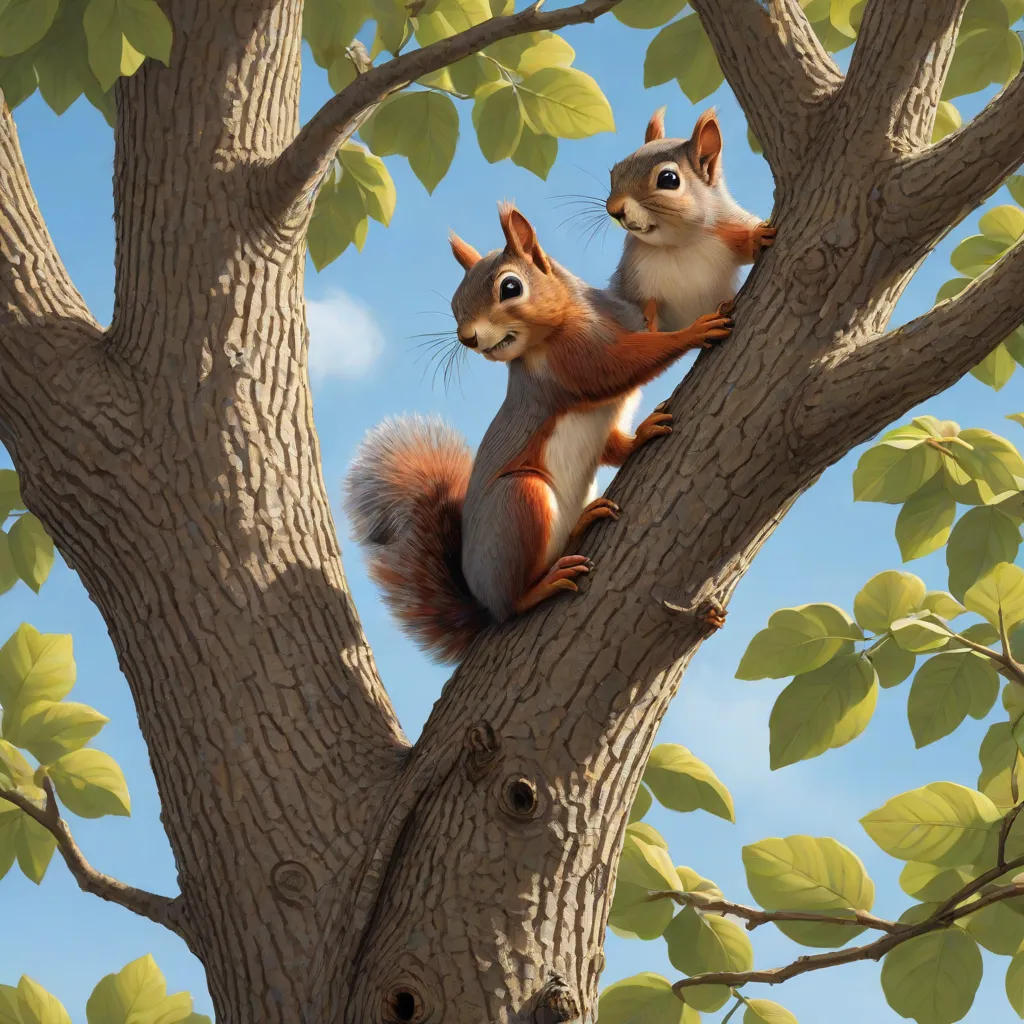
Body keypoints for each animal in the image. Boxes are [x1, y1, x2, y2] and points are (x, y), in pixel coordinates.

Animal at [345, 204, 733, 662]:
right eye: (456, 303)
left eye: (510, 287)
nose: (467, 338)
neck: (567, 320)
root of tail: (485, 602)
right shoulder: (570, 368)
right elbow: (619, 367)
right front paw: (693, 331)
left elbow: (613, 440)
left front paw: (643, 432)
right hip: (520, 500)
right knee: (514, 602)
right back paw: (542, 585)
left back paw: (584, 522)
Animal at [607, 107, 775, 332]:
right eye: (614, 173)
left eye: (668, 179)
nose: (613, 210)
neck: (679, 245)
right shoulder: (634, 283)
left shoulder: (725, 228)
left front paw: (757, 236)